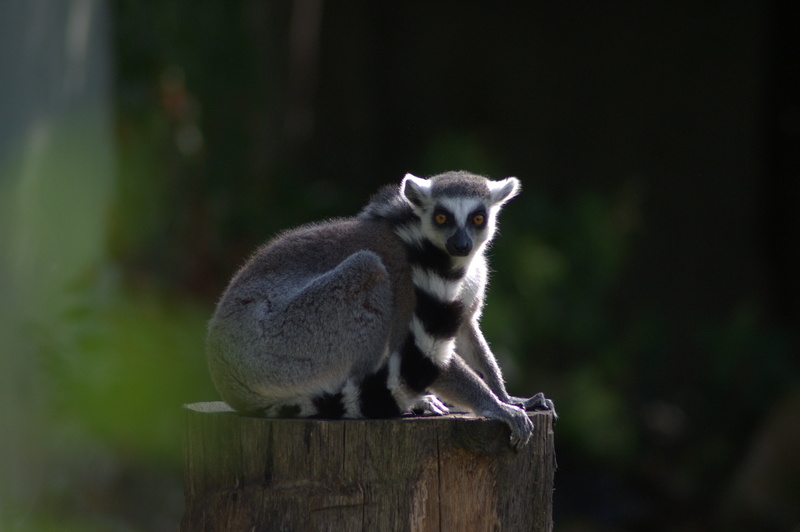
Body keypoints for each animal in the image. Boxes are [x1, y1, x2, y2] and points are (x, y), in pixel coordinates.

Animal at [207, 170, 555, 448]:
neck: (454, 262)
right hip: (280, 345)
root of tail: (223, 370)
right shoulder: (407, 280)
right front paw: (496, 407)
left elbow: (468, 331)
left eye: (477, 218)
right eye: (442, 217)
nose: (461, 244)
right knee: (368, 271)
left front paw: (507, 397)